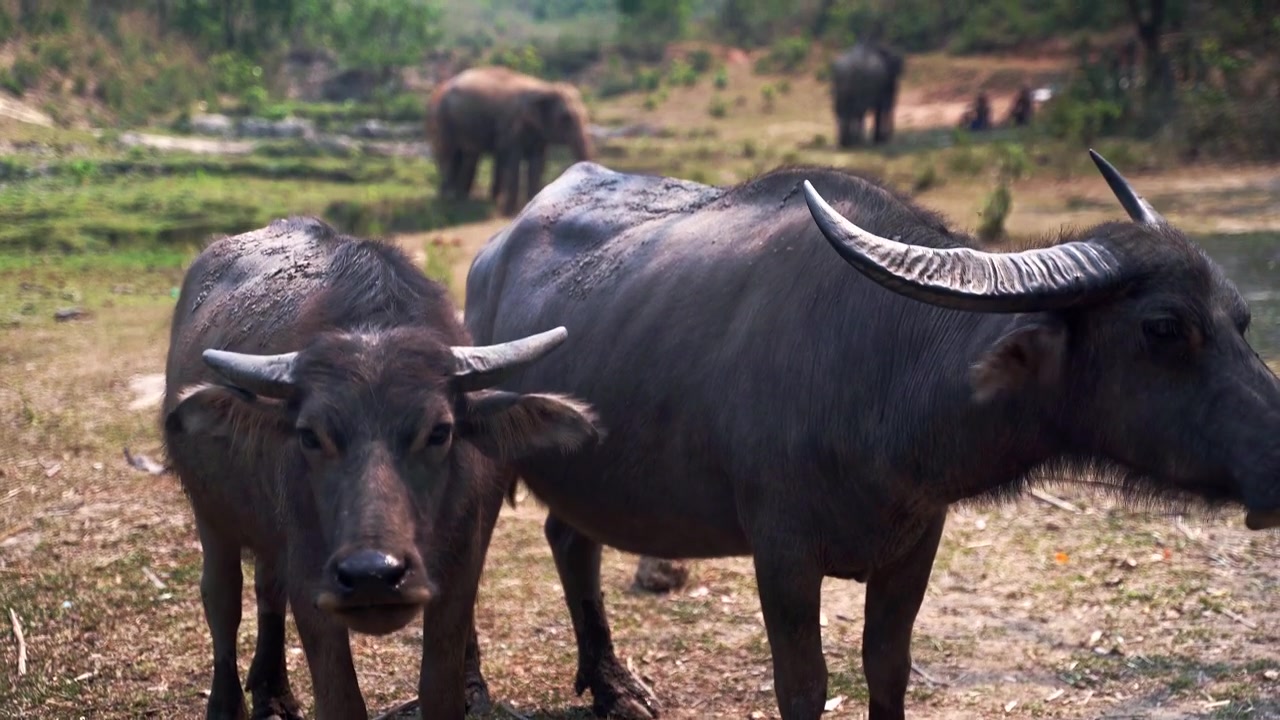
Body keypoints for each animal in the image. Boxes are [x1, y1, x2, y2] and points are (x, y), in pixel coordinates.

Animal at [427, 66, 593, 216]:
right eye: (565, 118)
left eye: (586, 114)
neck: (543, 86)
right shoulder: (510, 127)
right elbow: (513, 160)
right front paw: (511, 213)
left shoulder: (536, 134)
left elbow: (536, 163)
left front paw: (530, 205)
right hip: (444, 122)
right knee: (450, 155)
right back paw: (450, 201)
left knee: (465, 157)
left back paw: (461, 199)